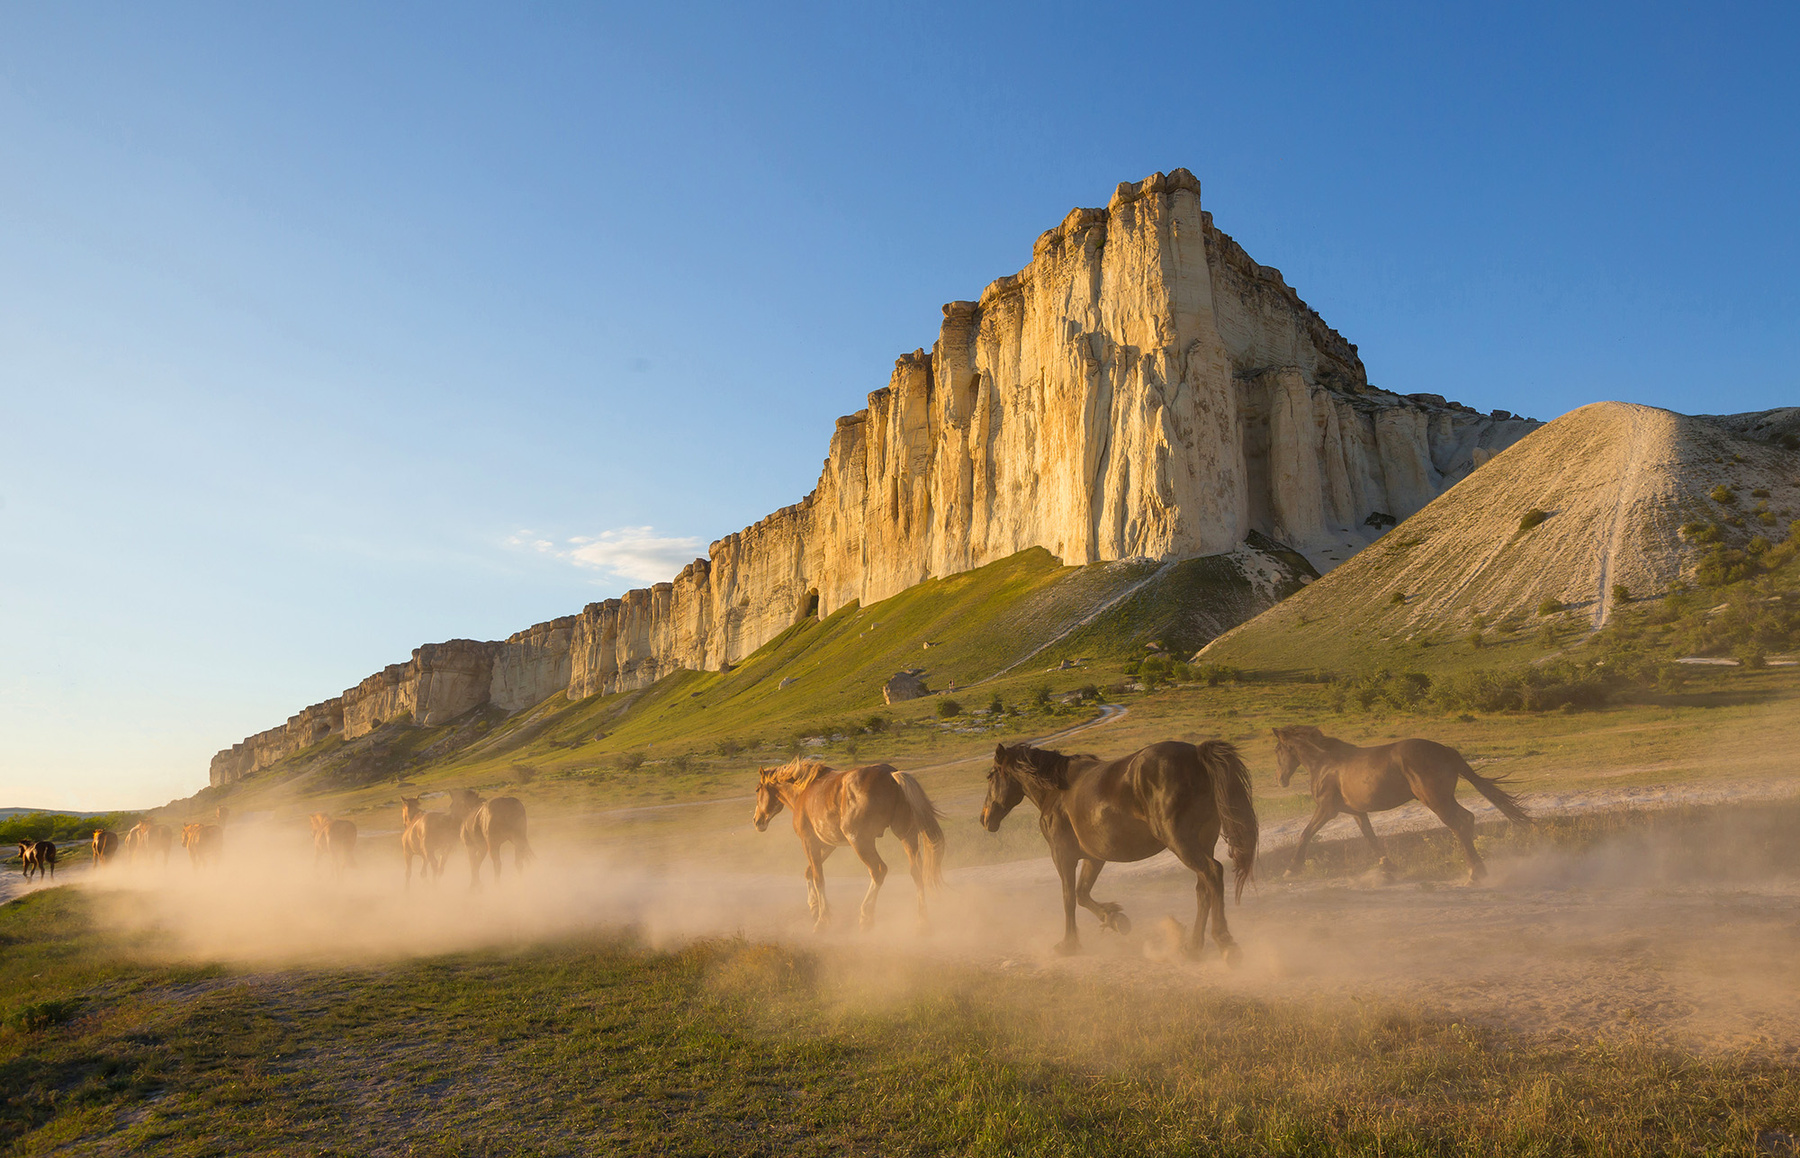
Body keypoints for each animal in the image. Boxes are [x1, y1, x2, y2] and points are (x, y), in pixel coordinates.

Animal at [752, 758, 945, 933]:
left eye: (757, 790)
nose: (756, 820)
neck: (803, 792)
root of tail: (890, 775)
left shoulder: (809, 841)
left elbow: (818, 877)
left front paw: (822, 920)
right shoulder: (828, 844)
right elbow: (809, 871)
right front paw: (815, 907)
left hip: (860, 841)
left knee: (878, 870)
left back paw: (866, 917)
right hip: (906, 835)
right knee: (916, 872)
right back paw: (922, 922)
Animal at [981, 740, 1259, 961]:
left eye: (991, 775)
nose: (985, 819)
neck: (1056, 792)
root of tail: (1197, 754)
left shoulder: (1062, 856)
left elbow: (1068, 898)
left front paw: (1069, 944)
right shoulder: (1094, 858)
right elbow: (1082, 894)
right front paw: (1115, 919)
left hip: (1180, 841)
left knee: (1213, 873)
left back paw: (1225, 942)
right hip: (1202, 841)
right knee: (1204, 889)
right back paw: (1192, 948)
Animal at [1272, 725, 1531, 883]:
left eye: (1277, 750)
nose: (1281, 779)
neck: (1324, 764)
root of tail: (1446, 751)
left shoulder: (1327, 809)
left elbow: (1306, 833)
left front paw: (1290, 869)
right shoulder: (1357, 812)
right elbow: (1371, 838)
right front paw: (1389, 867)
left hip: (1435, 800)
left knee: (1459, 824)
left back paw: (1475, 874)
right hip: (1445, 798)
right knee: (1467, 819)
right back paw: (1477, 870)